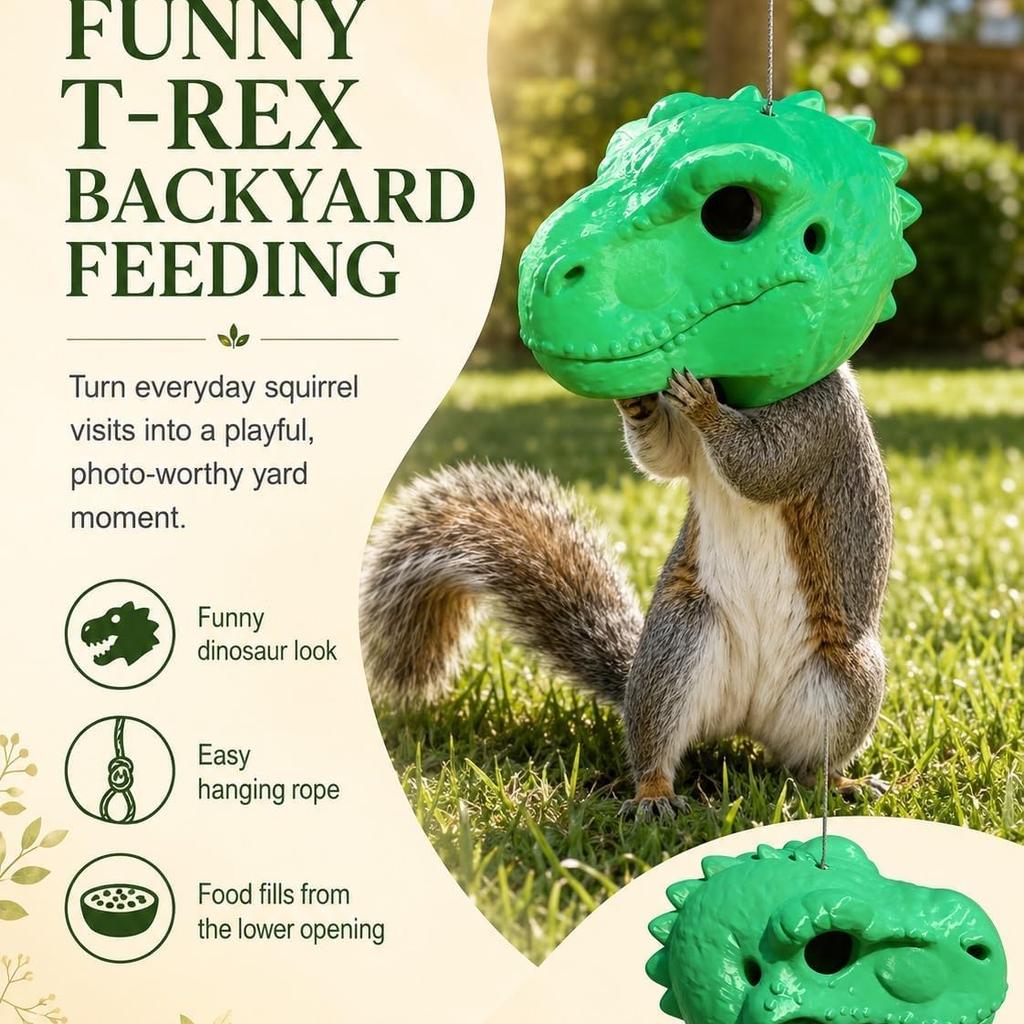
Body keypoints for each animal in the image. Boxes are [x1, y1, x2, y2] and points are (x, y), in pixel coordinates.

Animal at [360, 364, 893, 817]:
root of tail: (745, 718)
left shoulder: (818, 418)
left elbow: (764, 463)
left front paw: (703, 406)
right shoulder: (687, 449)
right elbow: (663, 453)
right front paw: (637, 401)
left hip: (848, 678)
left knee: (807, 764)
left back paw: (842, 784)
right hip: (680, 640)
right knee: (661, 746)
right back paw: (654, 796)